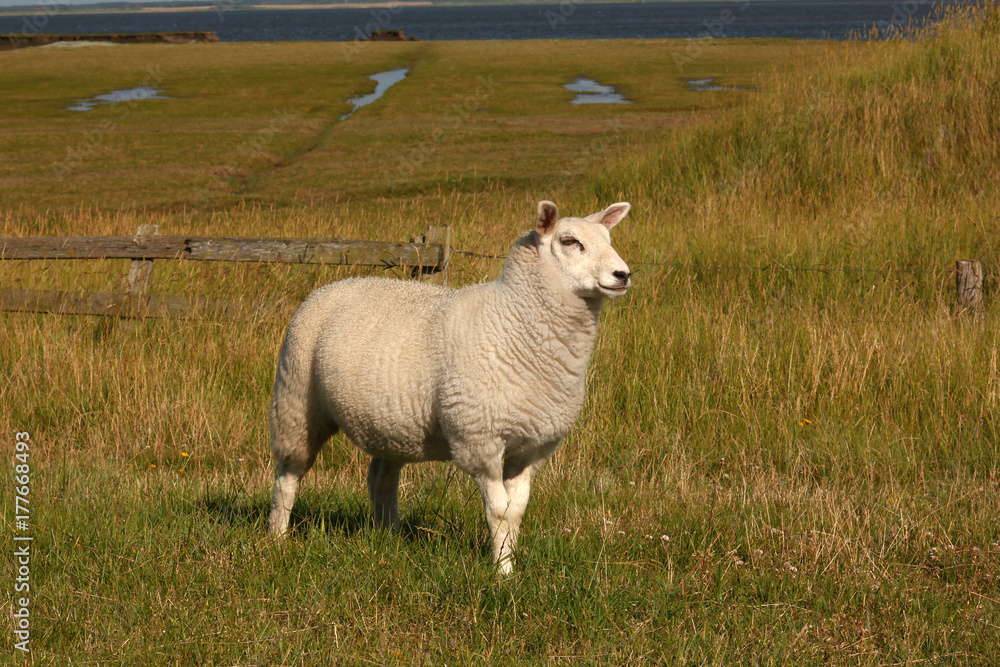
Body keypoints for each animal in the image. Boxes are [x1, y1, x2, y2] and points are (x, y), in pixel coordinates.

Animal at [268, 200, 631, 573]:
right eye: (570, 241)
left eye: (608, 238)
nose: (623, 275)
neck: (513, 321)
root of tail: (332, 285)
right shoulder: (480, 440)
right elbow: (499, 513)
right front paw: (502, 573)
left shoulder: (531, 447)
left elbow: (516, 512)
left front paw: (512, 564)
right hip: (296, 400)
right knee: (288, 476)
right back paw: (277, 540)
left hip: (389, 424)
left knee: (381, 477)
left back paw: (390, 538)